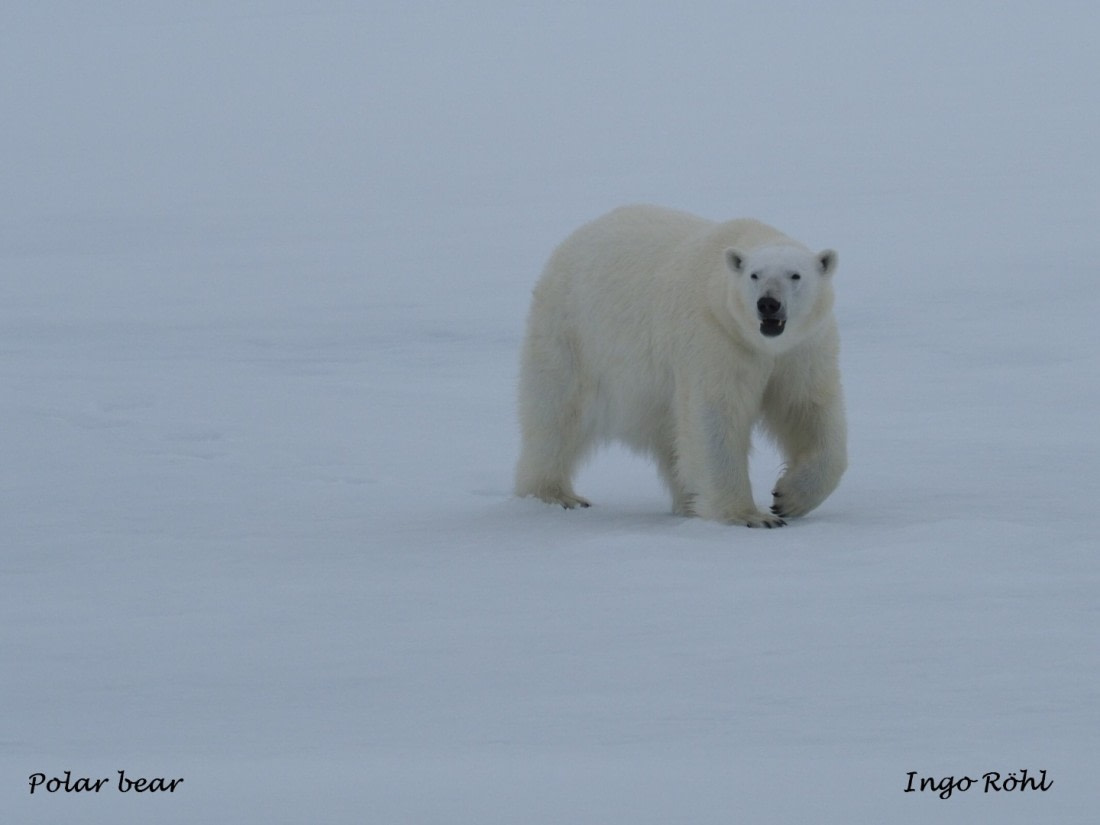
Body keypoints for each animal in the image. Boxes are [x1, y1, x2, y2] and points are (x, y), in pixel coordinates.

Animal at [514, 204, 846, 527]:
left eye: (795, 275)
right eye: (754, 275)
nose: (768, 304)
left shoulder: (803, 349)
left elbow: (807, 408)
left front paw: (789, 498)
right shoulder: (716, 338)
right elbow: (716, 415)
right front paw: (750, 516)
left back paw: (688, 502)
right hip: (573, 334)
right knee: (556, 415)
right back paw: (556, 494)